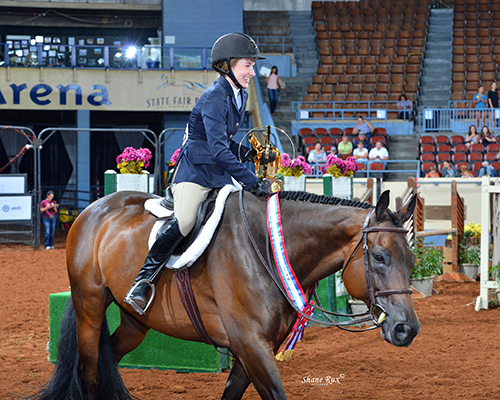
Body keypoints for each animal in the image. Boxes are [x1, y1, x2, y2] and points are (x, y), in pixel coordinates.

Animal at [32, 188, 418, 400]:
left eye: (412, 258)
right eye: (379, 257)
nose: (406, 329)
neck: (266, 249)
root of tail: (96, 208)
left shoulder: (254, 350)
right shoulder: (250, 345)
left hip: (134, 322)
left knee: (109, 355)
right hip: (89, 305)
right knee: (89, 371)